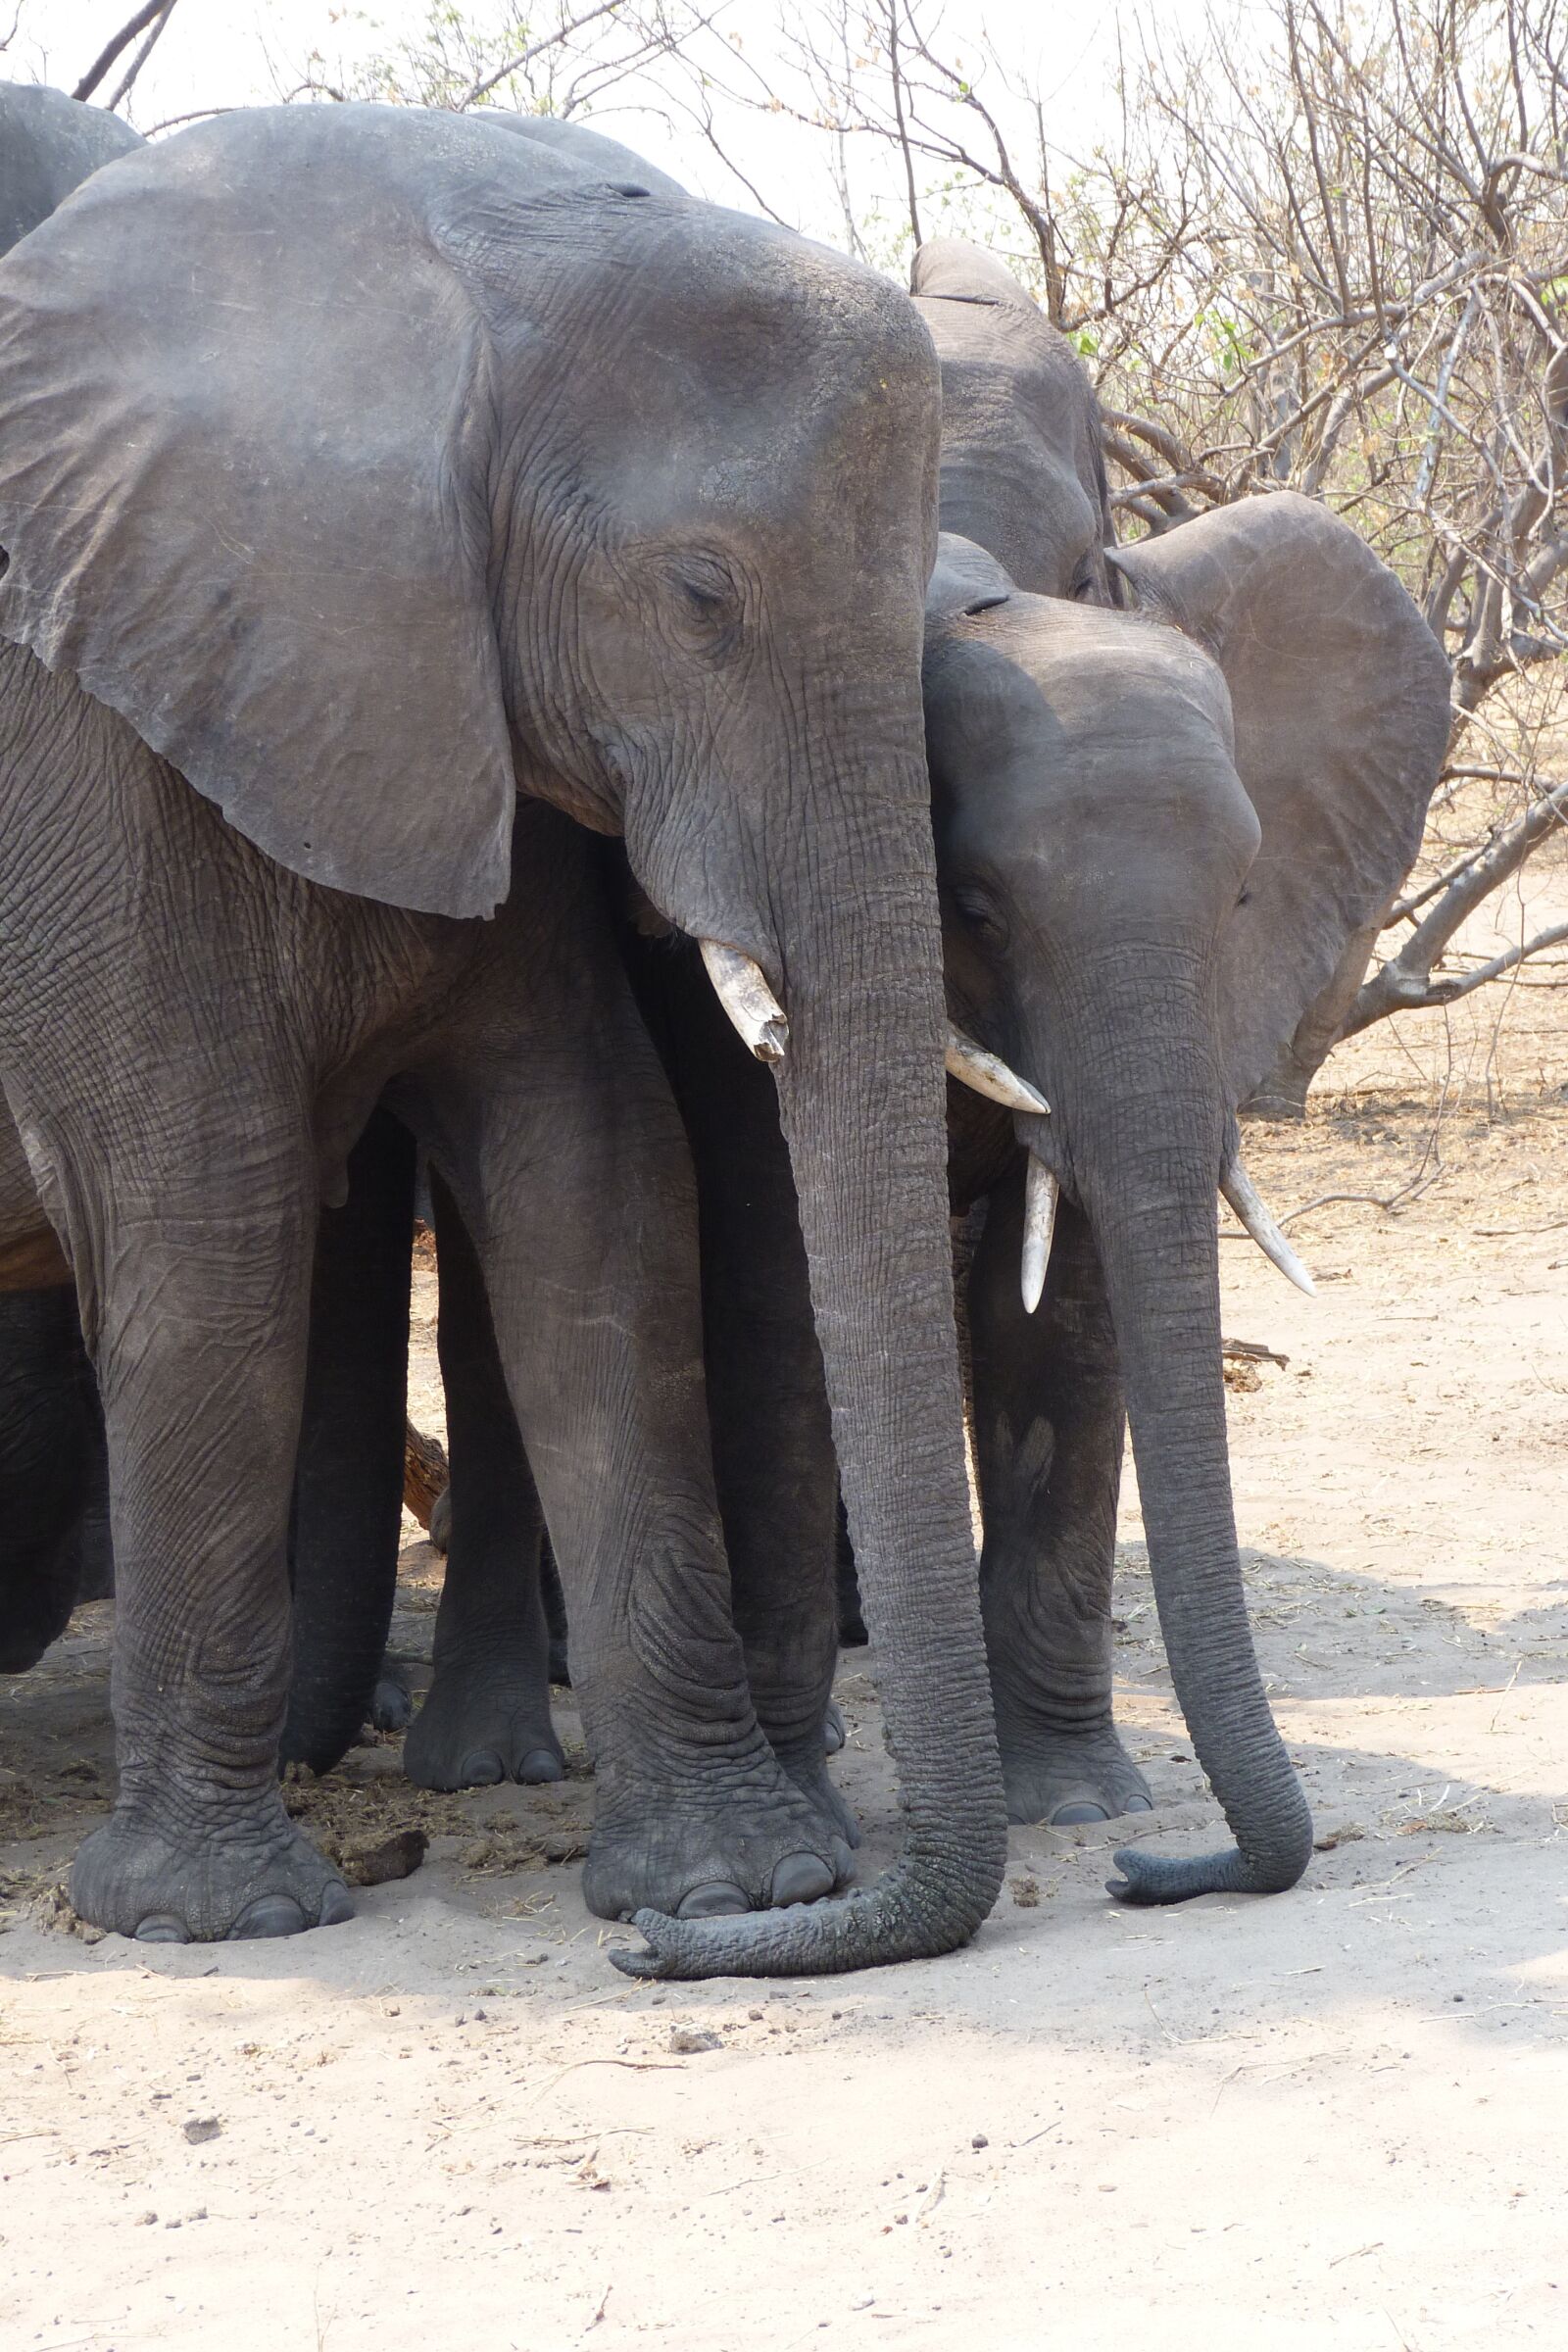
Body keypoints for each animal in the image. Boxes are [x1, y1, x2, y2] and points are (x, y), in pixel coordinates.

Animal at [0, 102, 1020, 1971]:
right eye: (699, 594)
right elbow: (207, 1231)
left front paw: (732, 1885)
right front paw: (213, 1918)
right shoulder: (88, 749)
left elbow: (592, 1178)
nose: (653, 1967)